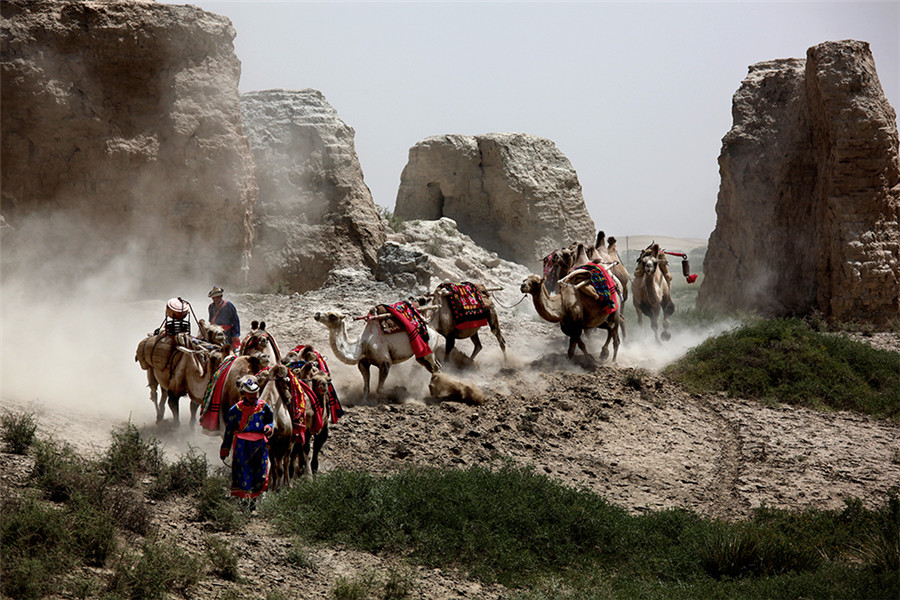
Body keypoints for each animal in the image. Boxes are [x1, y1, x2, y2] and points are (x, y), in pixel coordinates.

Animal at [314, 310, 442, 404]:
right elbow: (366, 387)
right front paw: (364, 402)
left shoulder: (385, 361)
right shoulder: (363, 363)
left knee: (435, 367)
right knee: (435, 367)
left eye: (332, 315)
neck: (362, 346)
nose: (317, 314)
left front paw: (396, 393)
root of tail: (433, 330)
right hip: (422, 357)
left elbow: (379, 389)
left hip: (427, 350)